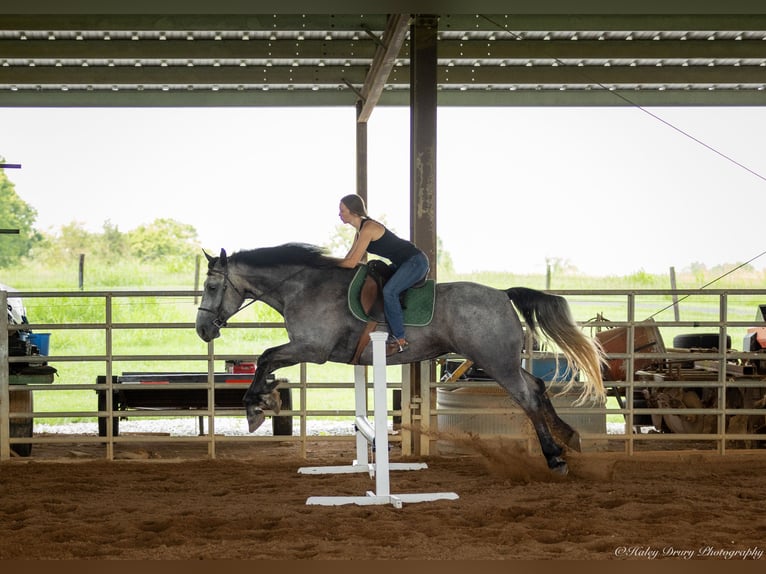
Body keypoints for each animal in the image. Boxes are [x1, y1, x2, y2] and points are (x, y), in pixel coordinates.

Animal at [196, 244, 608, 476]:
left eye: (212, 286)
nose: (202, 329)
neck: (303, 287)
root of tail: (502, 294)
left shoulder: (313, 349)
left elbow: (266, 357)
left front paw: (256, 407)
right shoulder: (309, 349)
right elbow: (266, 361)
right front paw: (264, 400)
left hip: (495, 362)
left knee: (527, 397)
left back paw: (555, 459)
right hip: (502, 360)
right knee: (537, 387)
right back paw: (570, 438)